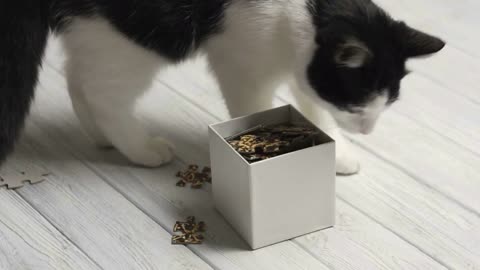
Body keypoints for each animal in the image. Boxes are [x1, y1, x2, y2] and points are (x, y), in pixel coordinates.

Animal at [0, 1, 444, 174]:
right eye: (357, 105)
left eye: (387, 103)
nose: (368, 130)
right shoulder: (242, 60)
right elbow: (255, 106)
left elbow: (312, 105)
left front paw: (338, 152)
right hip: (140, 37)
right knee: (103, 92)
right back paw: (142, 149)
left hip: (99, 33)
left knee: (77, 78)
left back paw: (103, 138)